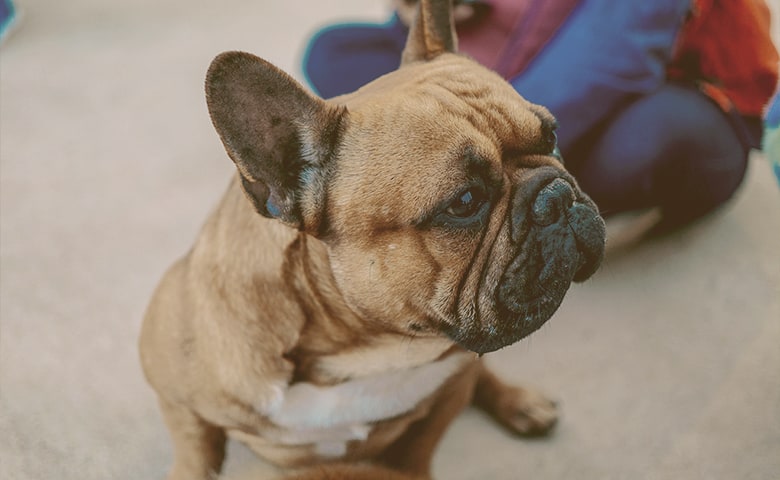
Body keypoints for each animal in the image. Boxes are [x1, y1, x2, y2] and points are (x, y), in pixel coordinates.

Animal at [139, 1, 604, 478]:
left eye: (552, 136)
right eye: (465, 201)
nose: (558, 195)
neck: (367, 349)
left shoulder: (447, 393)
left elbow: (418, 451)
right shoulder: (177, 401)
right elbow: (194, 457)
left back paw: (519, 403)